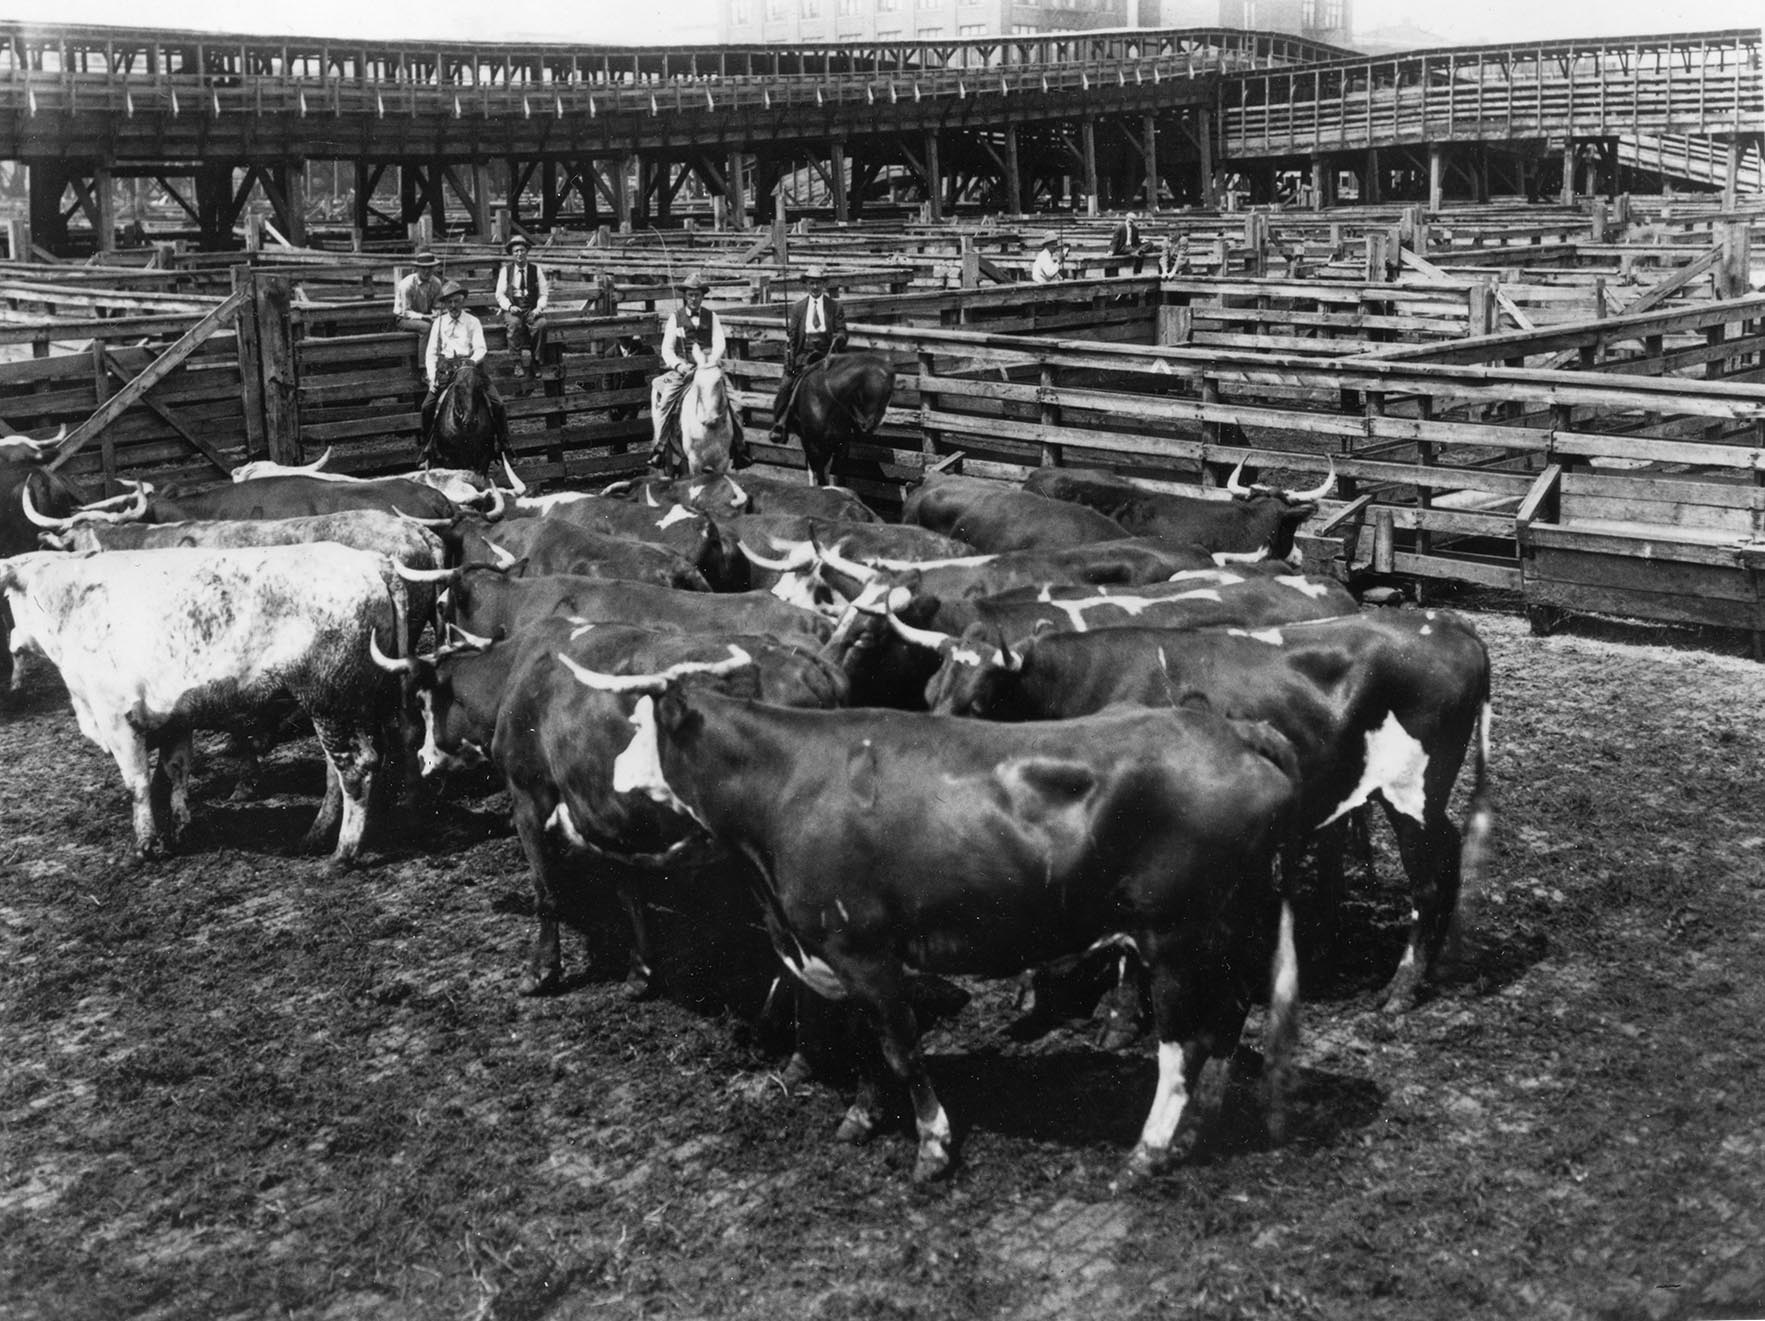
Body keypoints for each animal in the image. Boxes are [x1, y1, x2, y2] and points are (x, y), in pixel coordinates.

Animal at [780, 353, 896, 487]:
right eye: (887, 390)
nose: (872, 424)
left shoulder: (842, 446)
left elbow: (839, 476)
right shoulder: (814, 447)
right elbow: (820, 476)